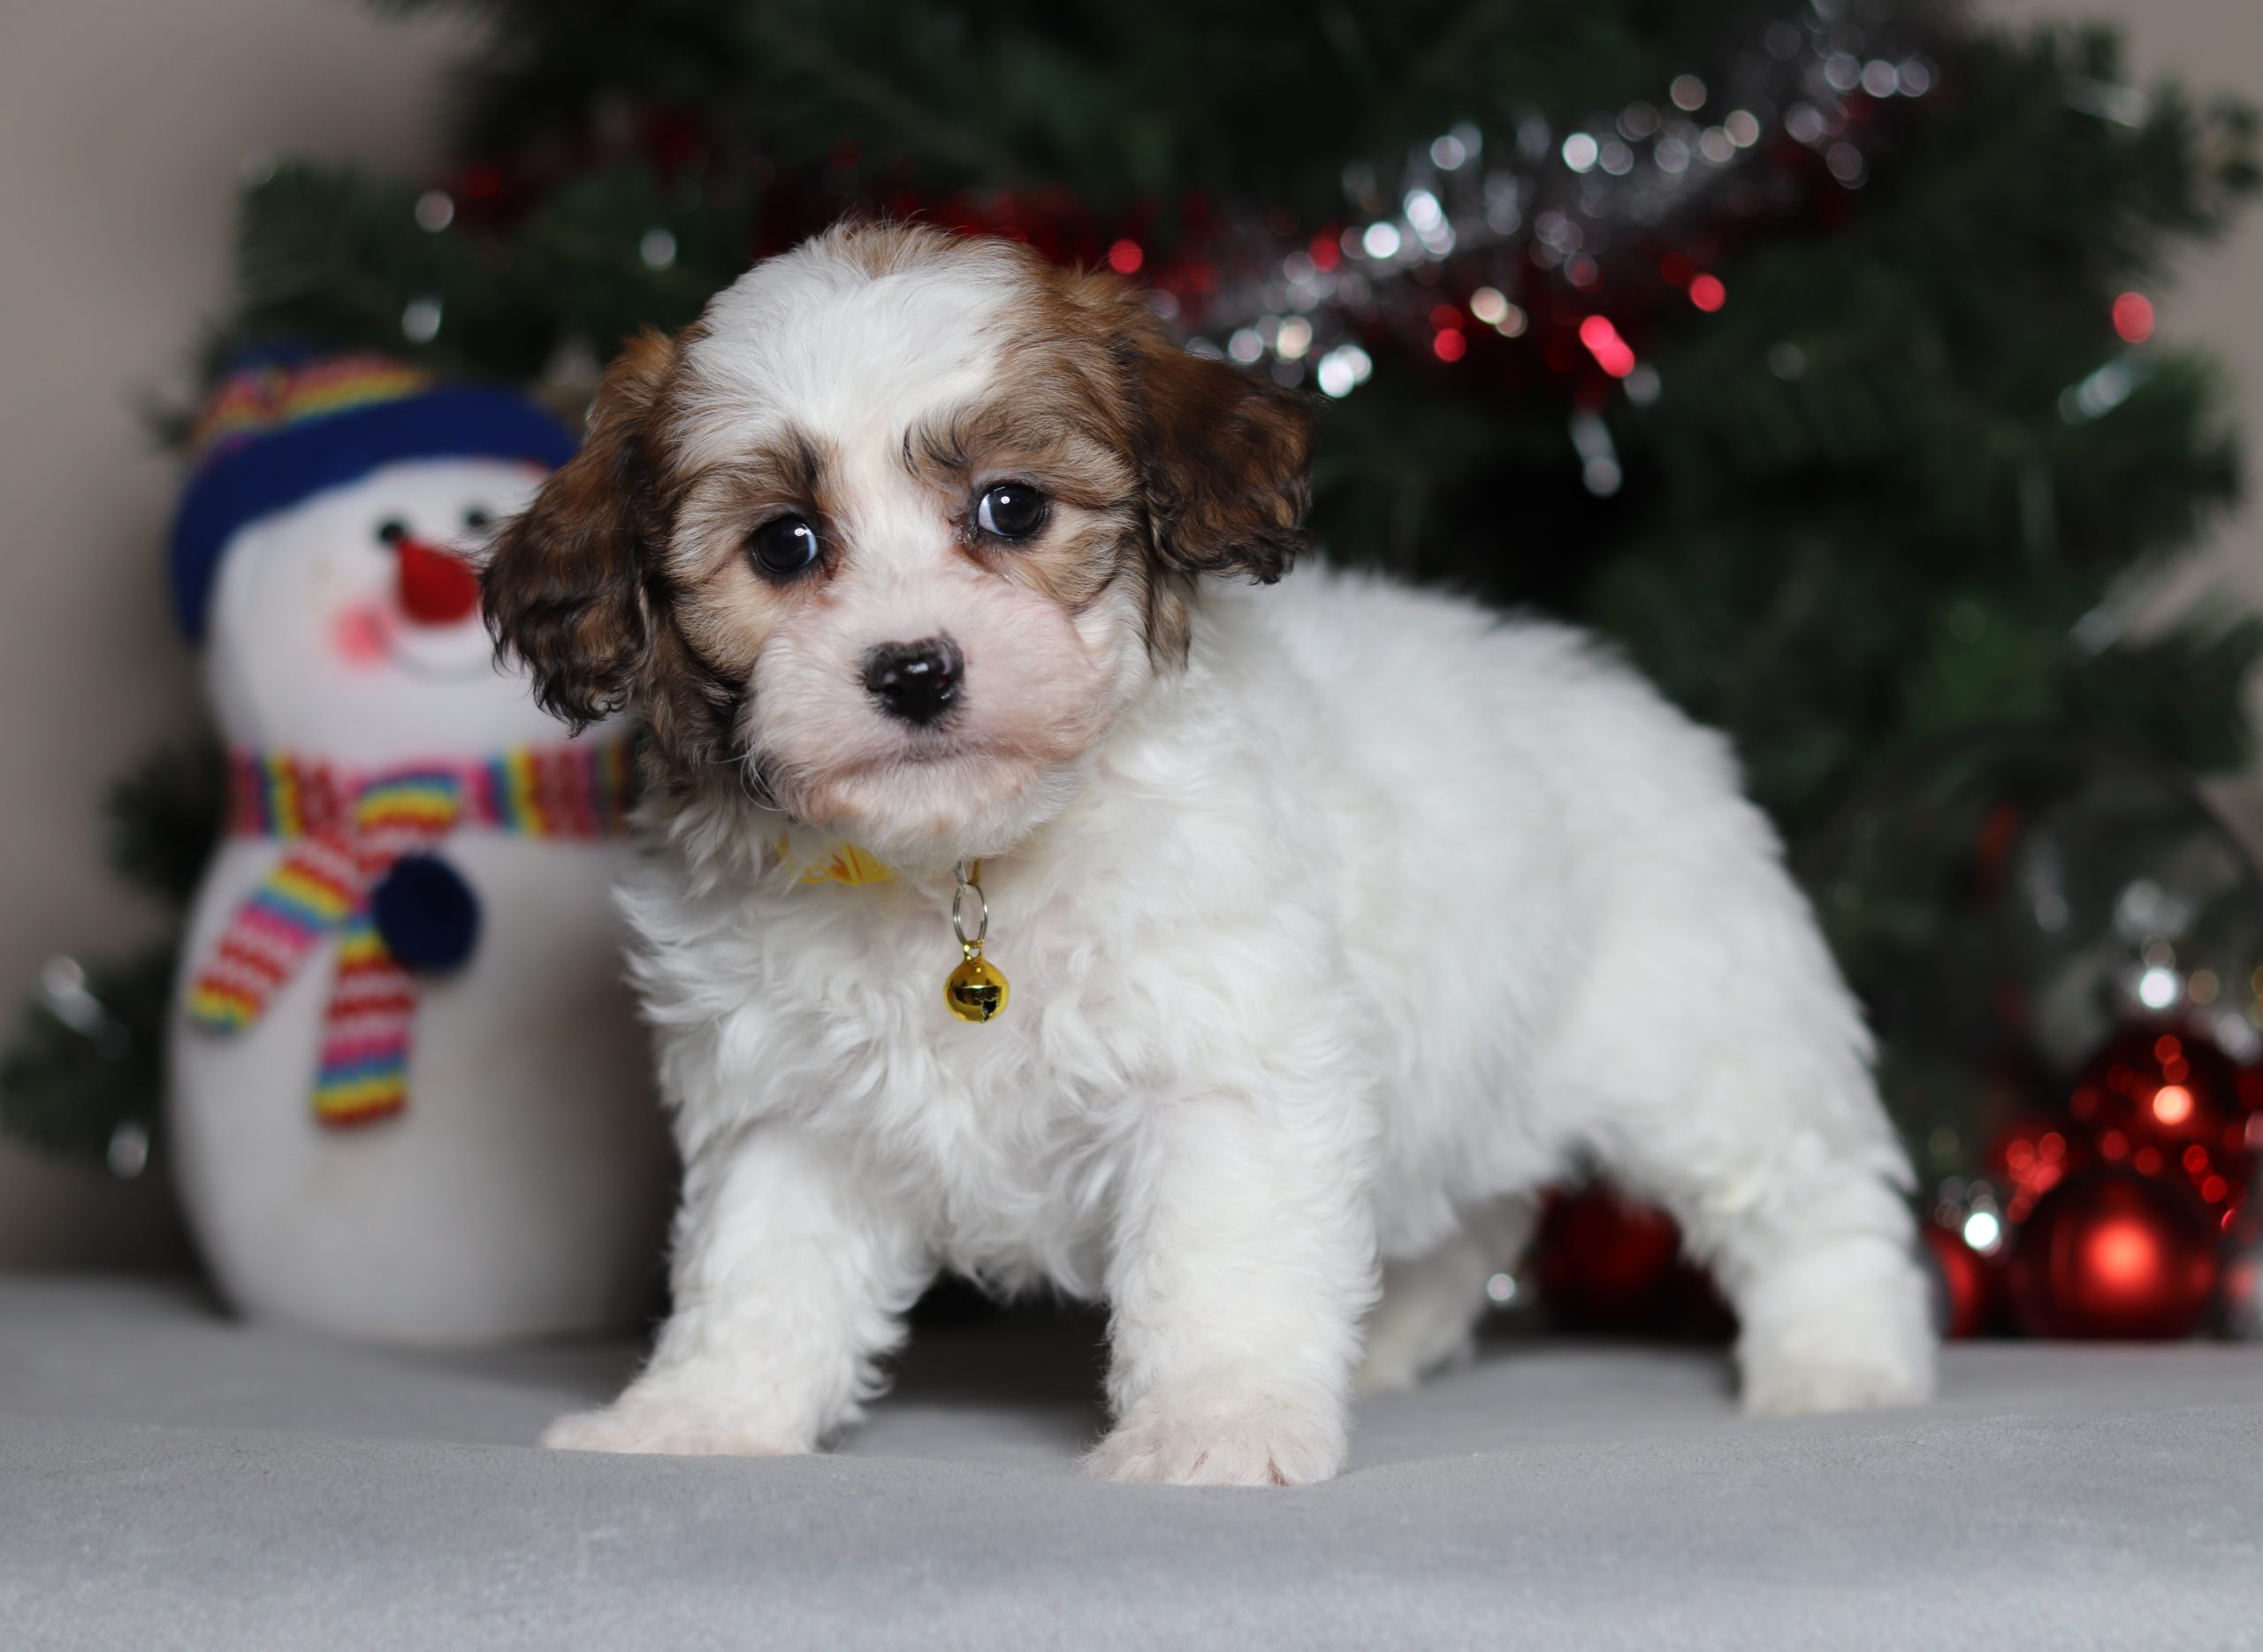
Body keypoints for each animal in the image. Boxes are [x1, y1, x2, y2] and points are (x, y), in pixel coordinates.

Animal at [482, 222, 1934, 1486]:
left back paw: (1843, 1362)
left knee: (1810, 1198)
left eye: (1011, 509)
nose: (913, 670)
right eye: (784, 544)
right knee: (1457, 1218)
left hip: (1708, 1043)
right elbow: (758, 1271)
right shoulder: (790, 1106)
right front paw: (700, 1420)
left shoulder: (1227, 1070)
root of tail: (1634, 702)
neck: (964, 871)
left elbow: (1220, 1262)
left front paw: (1216, 1431)